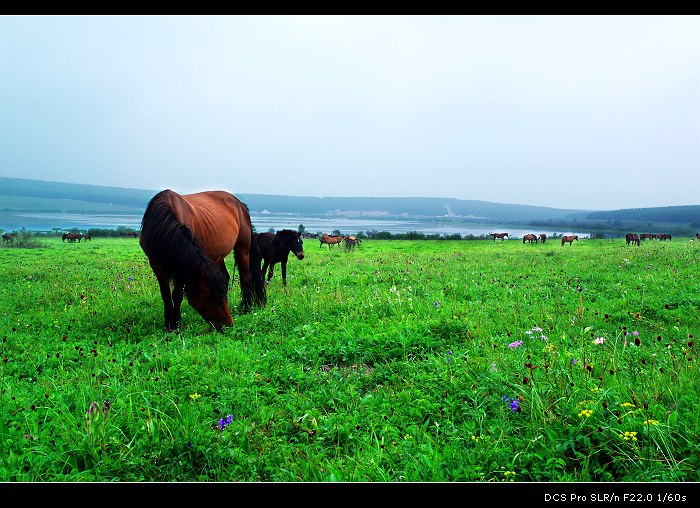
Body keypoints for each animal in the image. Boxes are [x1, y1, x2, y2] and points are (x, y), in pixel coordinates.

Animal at [139, 189, 266, 332]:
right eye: (210, 295)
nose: (228, 325)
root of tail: (240, 204)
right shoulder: (156, 264)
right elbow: (165, 294)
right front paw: (169, 324)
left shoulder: (183, 266)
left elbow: (177, 294)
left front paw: (176, 322)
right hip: (217, 257)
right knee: (226, 276)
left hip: (242, 249)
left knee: (245, 278)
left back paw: (246, 308)